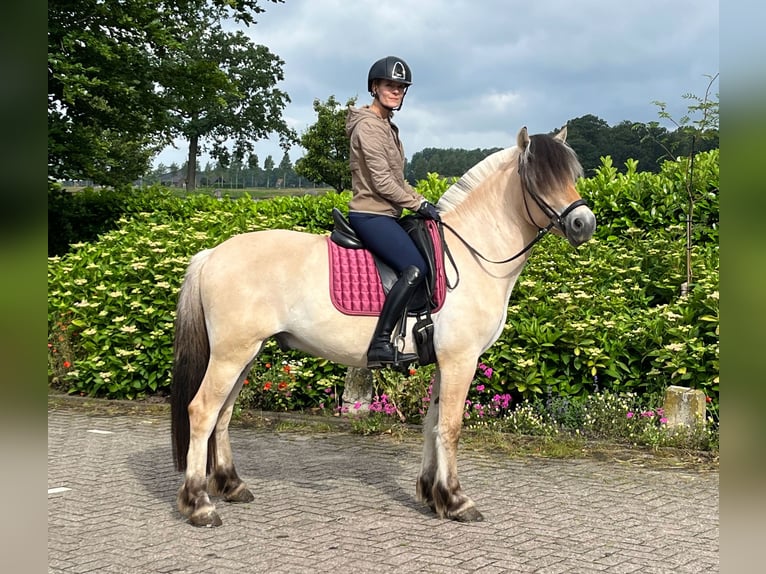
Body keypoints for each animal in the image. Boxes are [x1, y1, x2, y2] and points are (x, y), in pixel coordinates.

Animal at [170, 126, 596, 527]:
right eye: (538, 178)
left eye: (571, 174)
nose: (583, 224)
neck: (471, 255)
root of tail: (211, 254)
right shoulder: (461, 360)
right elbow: (451, 427)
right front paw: (457, 500)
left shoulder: (444, 362)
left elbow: (432, 424)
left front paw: (432, 494)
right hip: (231, 354)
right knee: (203, 412)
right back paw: (199, 504)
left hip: (246, 353)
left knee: (223, 414)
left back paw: (232, 485)